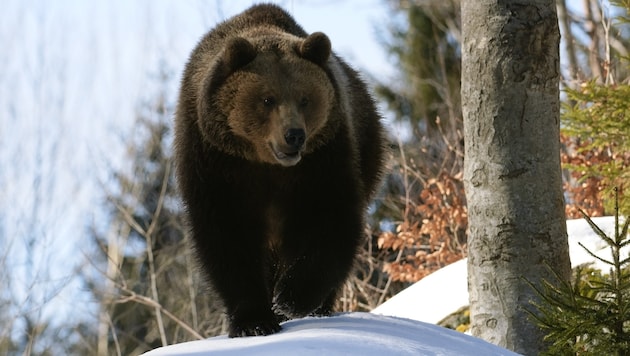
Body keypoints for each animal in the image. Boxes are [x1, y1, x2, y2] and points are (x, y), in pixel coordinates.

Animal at [175, 3, 388, 336]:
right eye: (267, 98)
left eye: (305, 98)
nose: (294, 135)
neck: (266, 163)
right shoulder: (215, 162)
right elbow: (226, 236)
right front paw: (253, 321)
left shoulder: (323, 158)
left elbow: (330, 218)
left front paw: (288, 299)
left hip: (368, 148)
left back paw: (319, 307)